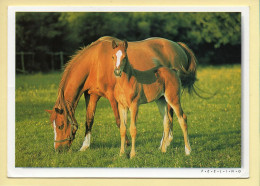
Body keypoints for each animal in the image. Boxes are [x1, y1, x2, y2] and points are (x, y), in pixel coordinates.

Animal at [46, 36, 197, 151]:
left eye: (60, 125)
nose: (58, 149)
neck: (94, 62)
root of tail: (178, 45)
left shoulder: (113, 98)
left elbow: (119, 121)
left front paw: (127, 144)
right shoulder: (92, 95)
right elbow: (89, 120)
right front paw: (84, 146)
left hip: (169, 95)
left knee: (172, 115)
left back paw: (166, 143)